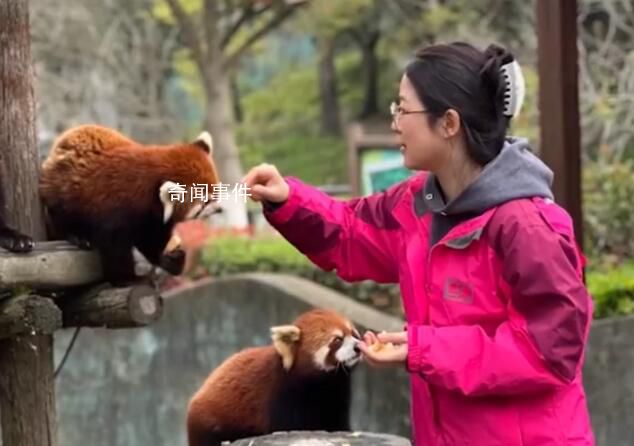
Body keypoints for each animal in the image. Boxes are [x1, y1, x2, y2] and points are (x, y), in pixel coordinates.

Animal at [39, 125, 222, 286]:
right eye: (205, 202)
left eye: (216, 193)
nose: (220, 209)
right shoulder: (115, 209)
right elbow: (115, 247)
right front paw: (127, 279)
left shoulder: (153, 218)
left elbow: (152, 239)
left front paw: (170, 259)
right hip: (62, 190)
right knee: (62, 214)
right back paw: (76, 236)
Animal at [184, 308, 360, 446]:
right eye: (337, 340)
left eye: (353, 333)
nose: (358, 347)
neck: (324, 383)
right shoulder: (284, 396)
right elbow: (286, 426)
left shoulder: (336, 396)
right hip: (210, 426)